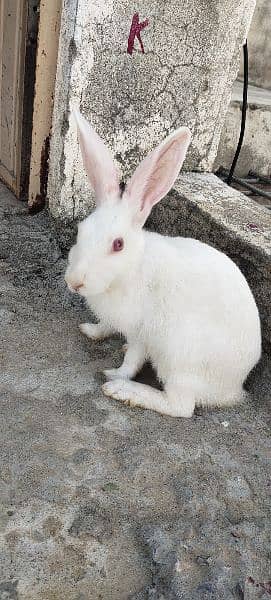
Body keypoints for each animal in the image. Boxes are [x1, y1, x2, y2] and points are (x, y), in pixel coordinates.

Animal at [65, 112, 262, 420]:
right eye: (80, 230)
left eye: (118, 244)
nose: (74, 282)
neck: (129, 270)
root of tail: (233, 389)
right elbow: (106, 326)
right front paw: (91, 330)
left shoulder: (141, 332)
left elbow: (132, 360)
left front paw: (115, 376)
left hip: (181, 359)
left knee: (181, 406)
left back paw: (128, 392)